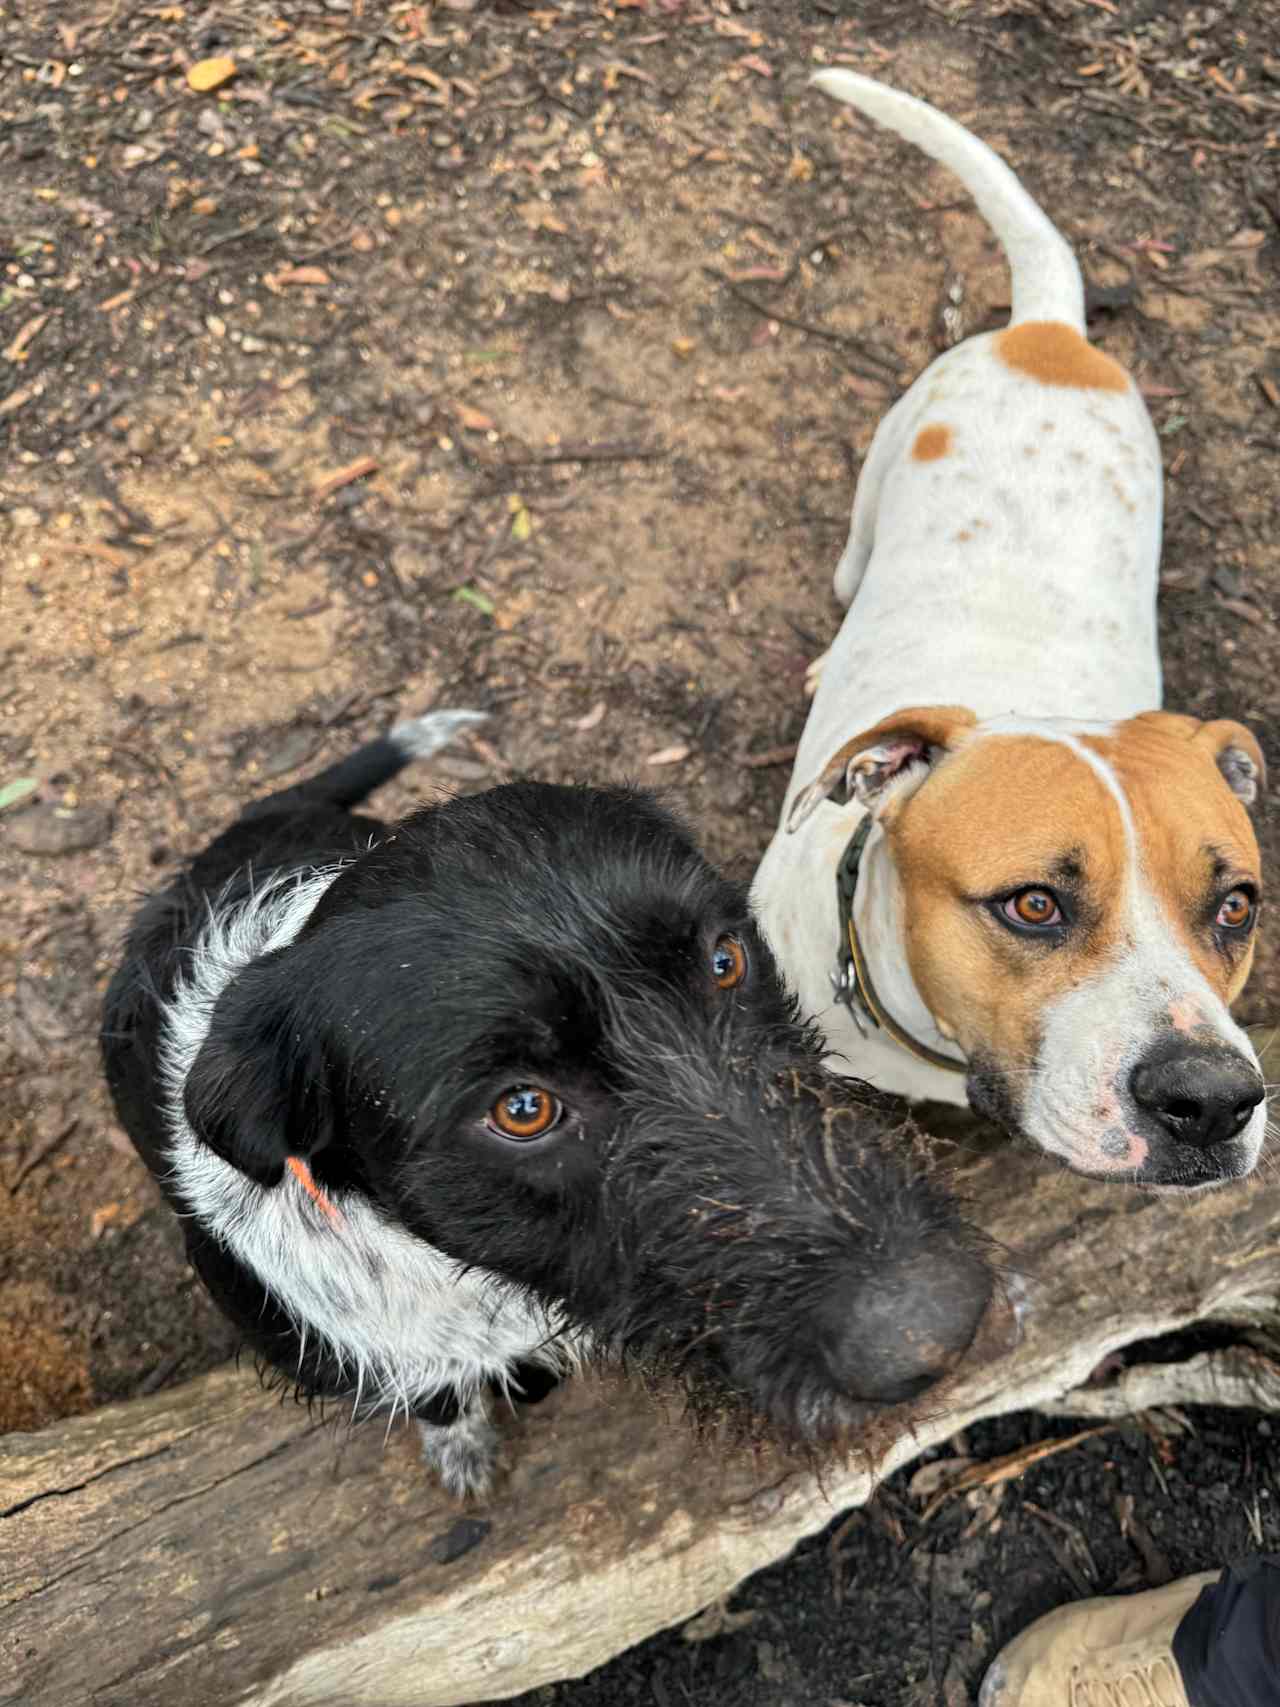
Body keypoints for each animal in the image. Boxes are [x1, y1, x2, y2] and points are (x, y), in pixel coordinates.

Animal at [105, 710, 996, 1495]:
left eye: (724, 960)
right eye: (522, 1109)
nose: (936, 1328)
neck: (486, 1281)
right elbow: (437, 1393)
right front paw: (462, 1441)